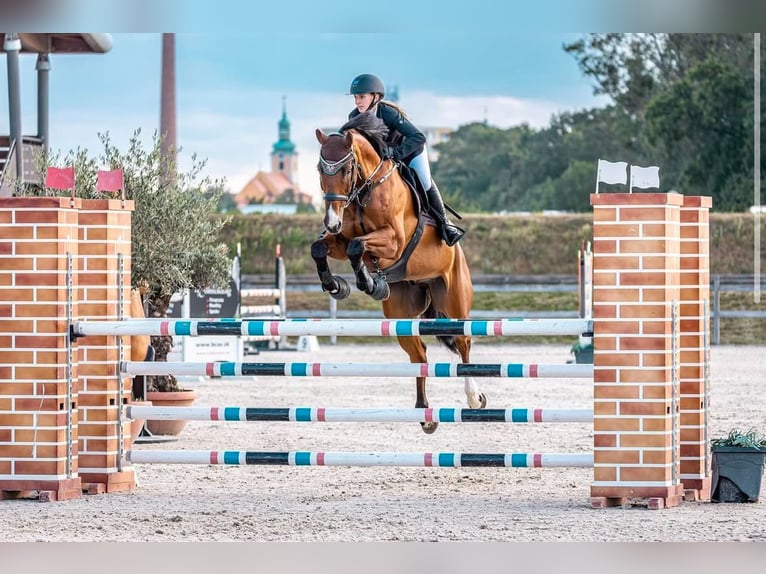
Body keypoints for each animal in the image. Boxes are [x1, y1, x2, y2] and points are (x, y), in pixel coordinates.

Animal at [310, 112, 486, 434]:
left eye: (347, 168)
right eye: (320, 168)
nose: (331, 222)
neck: (366, 190)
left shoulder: (393, 241)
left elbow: (357, 246)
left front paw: (369, 282)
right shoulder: (339, 241)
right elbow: (324, 248)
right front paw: (339, 285)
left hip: (454, 300)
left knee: (464, 343)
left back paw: (473, 397)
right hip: (401, 314)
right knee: (419, 354)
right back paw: (424, 414)